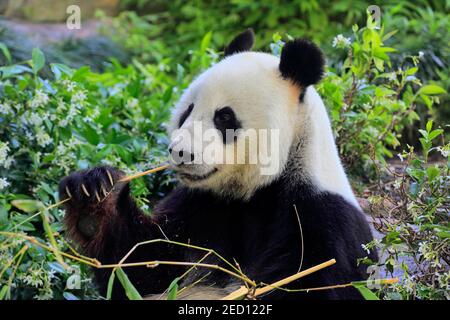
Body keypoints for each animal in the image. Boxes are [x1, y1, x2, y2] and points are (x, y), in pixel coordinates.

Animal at [59, 28, 376, 298]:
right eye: (187, 111)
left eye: (224, 117)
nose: (181, 152)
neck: (256, 193)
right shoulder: (203, 205)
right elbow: (147, 264)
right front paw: (95, 195)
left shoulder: (322, 219)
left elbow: (310, 282)